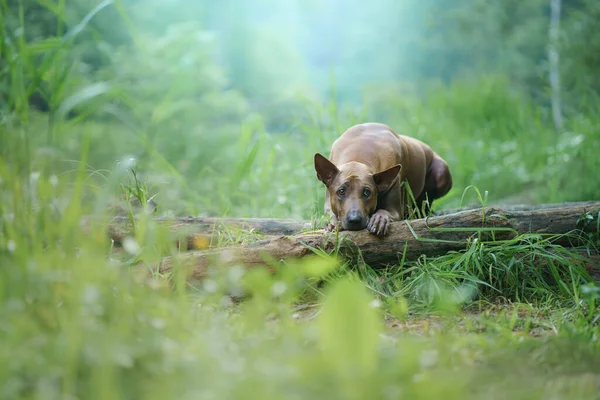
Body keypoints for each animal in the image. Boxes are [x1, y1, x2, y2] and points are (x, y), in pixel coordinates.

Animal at [314, 122, 450, 234]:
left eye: (367, 192)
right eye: (341, 191)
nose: (354, 220)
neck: (359, 155)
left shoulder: (395, 209)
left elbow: (386, 211)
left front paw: (379, 219)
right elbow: (330, 214)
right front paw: (332, 224)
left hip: (441, 174)